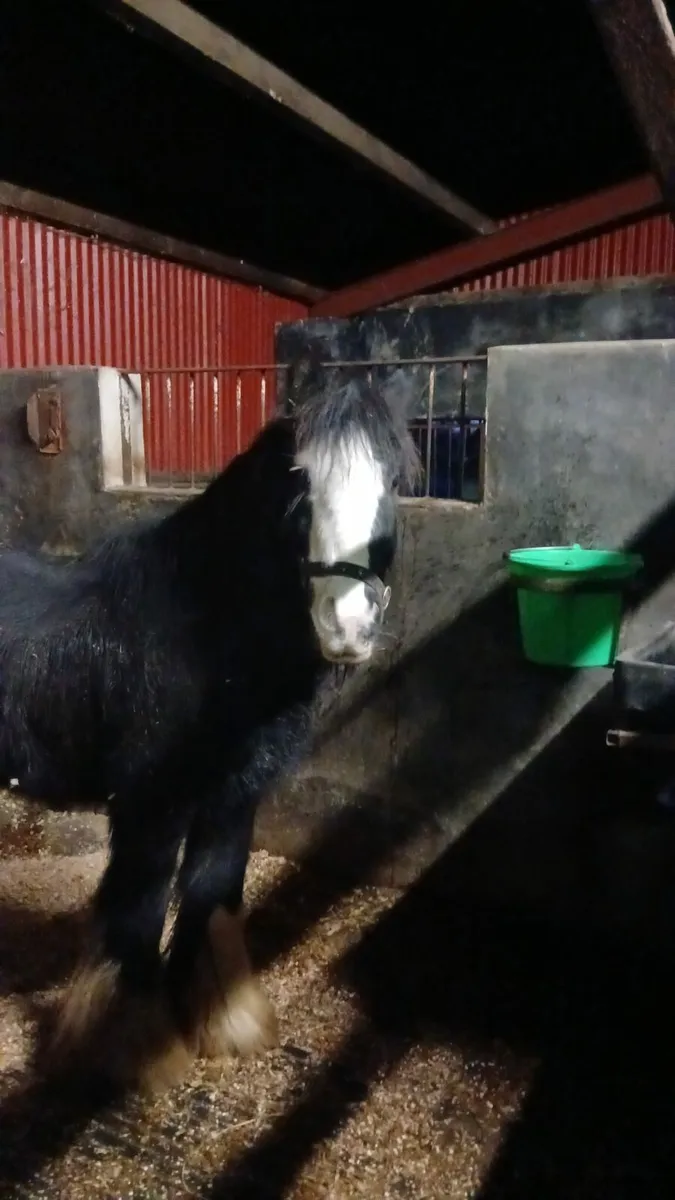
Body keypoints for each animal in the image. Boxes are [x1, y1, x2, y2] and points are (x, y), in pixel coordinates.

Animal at [0, 352, 419, 1092]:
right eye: (298, 484)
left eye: (393, 480)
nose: (346, 627)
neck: (200, 629)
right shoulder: (150, 805)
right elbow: (135, 917)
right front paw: (131, 1051)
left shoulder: (235, 794)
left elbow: (212, 894)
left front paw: (223, 1023)